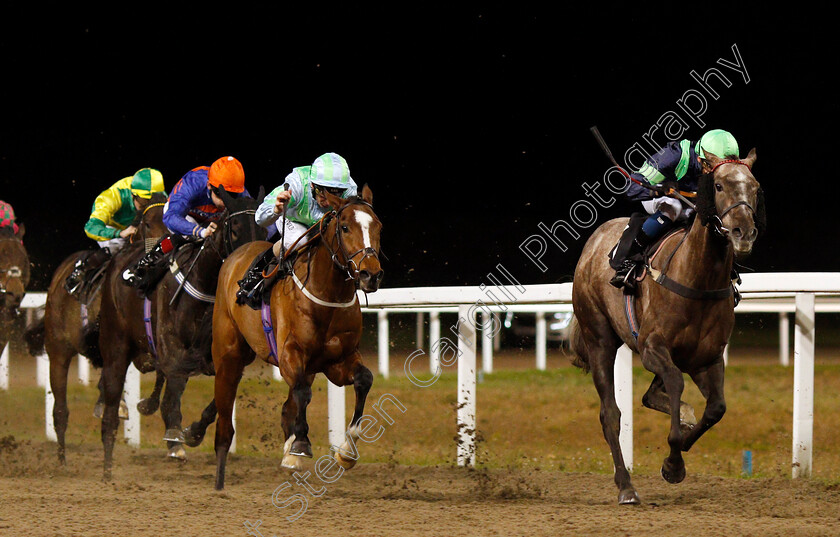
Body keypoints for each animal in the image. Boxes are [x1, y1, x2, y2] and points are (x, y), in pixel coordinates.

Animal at [212, 184, 382, 490]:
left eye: (378, 226)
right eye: (345, 227)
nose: (370, 274)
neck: (327, 296)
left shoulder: (337, 361)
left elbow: (364, 379)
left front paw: (347, 451)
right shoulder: (291, 353)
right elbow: (302, 391)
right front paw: (301, 444)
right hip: (228, 353)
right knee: (225, 415)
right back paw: (219, 479)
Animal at [568, 149, 764, 504]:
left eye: (754, 187)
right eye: (718, 185)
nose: (743, 232)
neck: (697, 279)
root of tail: (594, 243)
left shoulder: (708, 358)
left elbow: (716, 408)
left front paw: (682, 444)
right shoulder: (651, 348)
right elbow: (675, 382)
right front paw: (673, 462)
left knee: (650, 397)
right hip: (599, 338)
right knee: (610, 414)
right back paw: (626, 486)